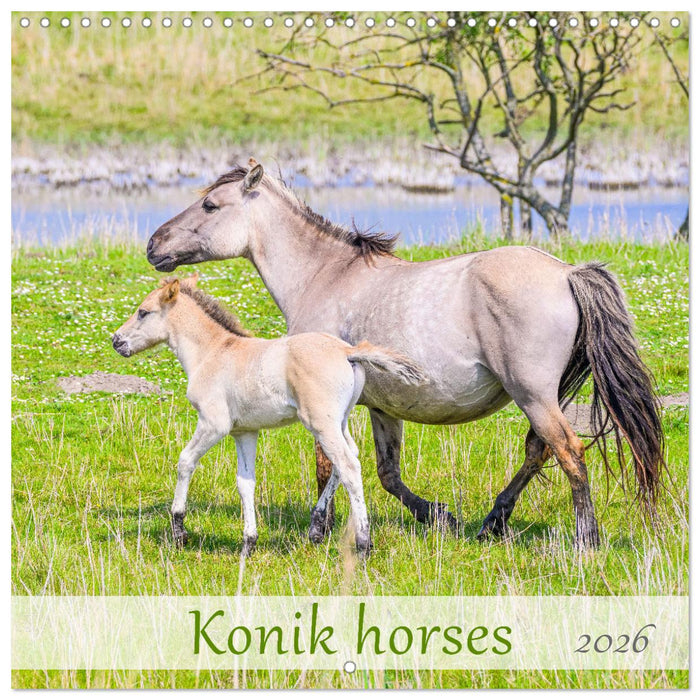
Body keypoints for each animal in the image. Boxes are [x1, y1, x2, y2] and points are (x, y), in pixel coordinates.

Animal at [112, 274, 424, 555]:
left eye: (143, 312)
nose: (116, 341)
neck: (212, 353)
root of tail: (348, 351)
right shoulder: (244, 432)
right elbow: (246, 483)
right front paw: (248, 543)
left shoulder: (214, 424)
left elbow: (185, 461)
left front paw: (179, 532)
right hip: (340, 422)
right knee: (348, 459)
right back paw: (316, 529)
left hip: (321, 424)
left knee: (348, 466)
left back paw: (363, 544)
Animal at [145, 159, 665, 549]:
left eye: (210, 205)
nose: (153, 245)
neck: (326, 276)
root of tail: (566, 272)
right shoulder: (380, 406)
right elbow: (384, 473)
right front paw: (437, 517)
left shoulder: (324, 402)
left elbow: (329, 466)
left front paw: (322, 530)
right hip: (544, 396)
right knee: (538, 451)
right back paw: (491, 522)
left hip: (533, 394)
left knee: (569, 452)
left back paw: (585, 540)